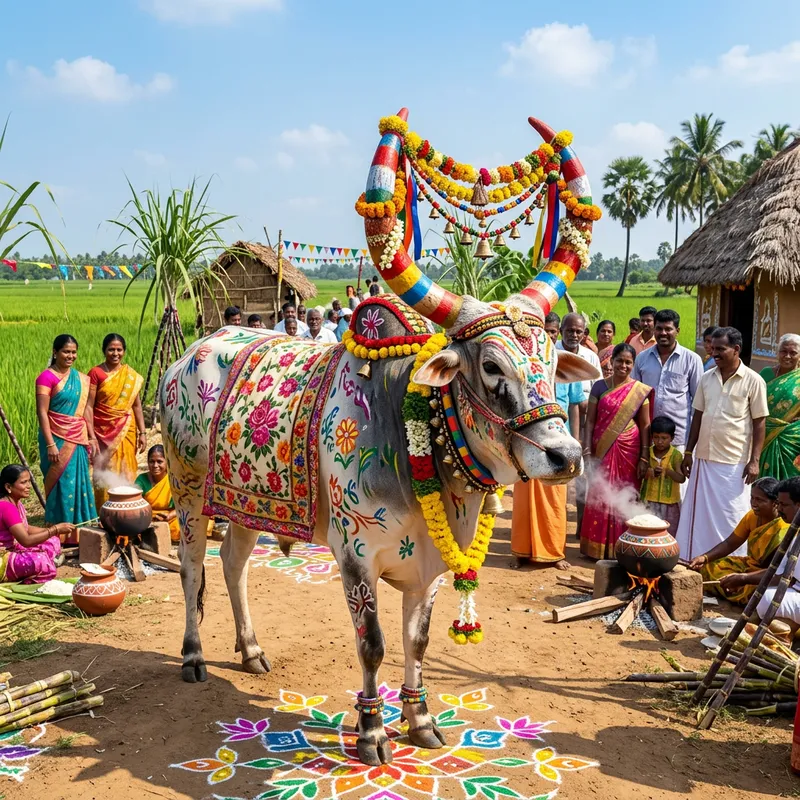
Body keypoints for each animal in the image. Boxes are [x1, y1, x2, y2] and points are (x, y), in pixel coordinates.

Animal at [160, 112, 600, 766]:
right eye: (491, 366)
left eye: (550, 360)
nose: (565, 455)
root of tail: (192, 351)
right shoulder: (356, 558)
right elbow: (372, 644)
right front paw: (370, 731)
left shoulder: (431, 569)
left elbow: (416, 643)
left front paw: (421, 723)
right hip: (189, 492)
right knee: (193, 568)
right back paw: (193, 656)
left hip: (242, 505)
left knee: (235, 566)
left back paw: (251, 649)